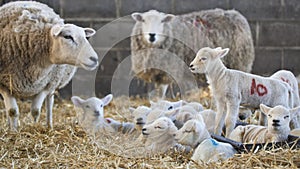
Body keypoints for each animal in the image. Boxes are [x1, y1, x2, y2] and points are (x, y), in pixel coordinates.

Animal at [0, 1, 98, 130]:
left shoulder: (47, 84)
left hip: (54, 83)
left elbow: (35, 110)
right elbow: (12, 111)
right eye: (67, 36)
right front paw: (13, 131)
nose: (95, 59)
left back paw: (49, 125)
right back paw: (8, 125)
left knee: (49, 103)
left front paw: (35, 127)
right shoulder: (4, 85)